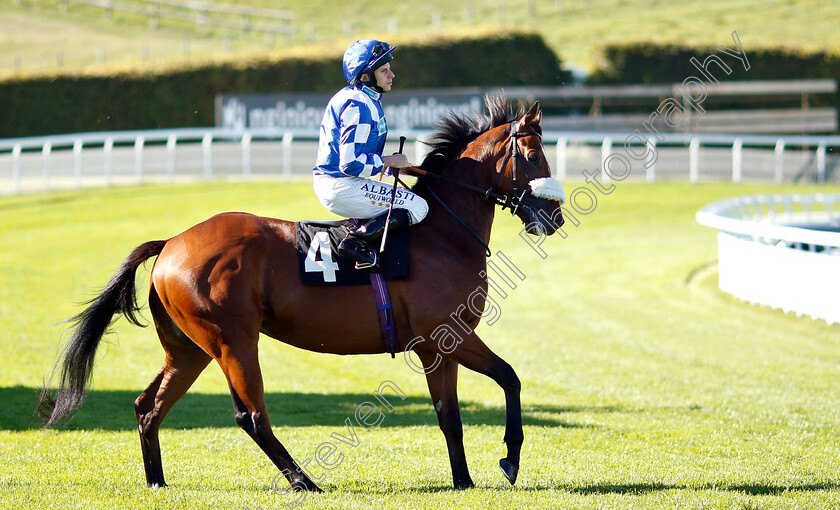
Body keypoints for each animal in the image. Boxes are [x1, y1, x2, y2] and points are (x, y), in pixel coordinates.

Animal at [37, 93, 564, 492]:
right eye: (533, 155)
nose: (554, 216)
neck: (440, 234)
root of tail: (170, 243)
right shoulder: (445, 335)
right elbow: (510, 378)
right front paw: (509, 460)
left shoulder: (439, 346)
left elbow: (451, 414)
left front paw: (464, 481)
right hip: (232, 341)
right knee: (251, 415)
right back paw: (304, 481)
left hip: (189, 348)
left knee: (149, 407)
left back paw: (157, 482)